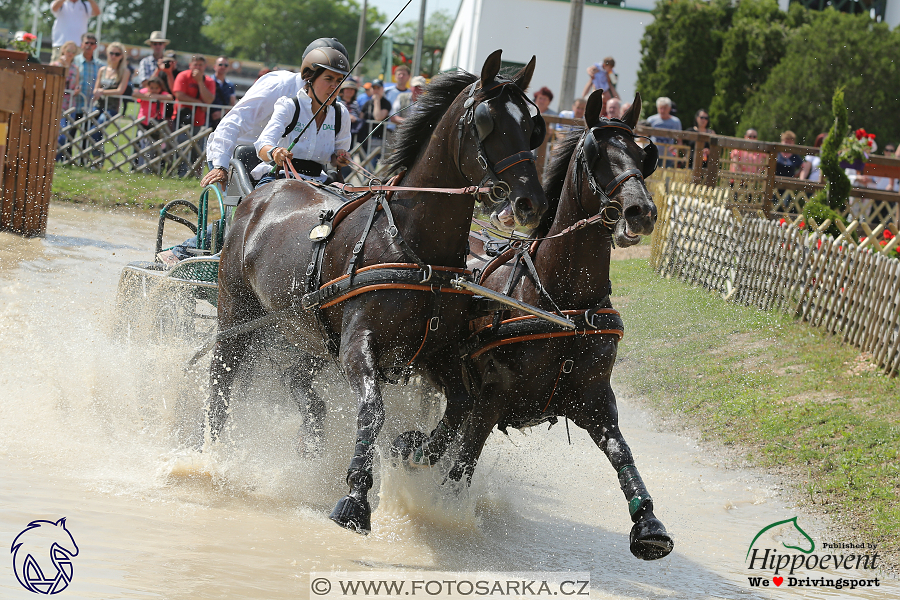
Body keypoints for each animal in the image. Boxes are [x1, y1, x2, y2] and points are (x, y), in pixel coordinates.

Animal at [204, 49, 548, 532]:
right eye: (485, 121)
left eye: (534, 125)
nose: (529, 202)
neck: (413, 247)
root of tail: (261, 193)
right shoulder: (358, 345)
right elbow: (373, 409)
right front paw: (355, 497)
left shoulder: (438, 351)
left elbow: (460, 406)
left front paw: (415, 448)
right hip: (237, 312)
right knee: (223, 374)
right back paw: (216, 453)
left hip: (305, 332)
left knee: (298, 380)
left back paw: (310, 441)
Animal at [394, 90, 676, 564]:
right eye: (597, 155)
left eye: (645, 155)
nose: (641, 211)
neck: (564, 306)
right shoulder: (490, 397)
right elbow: (462, 464)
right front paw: (442, 513)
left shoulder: (596, 399)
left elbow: (622, 452)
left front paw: (649, 523)